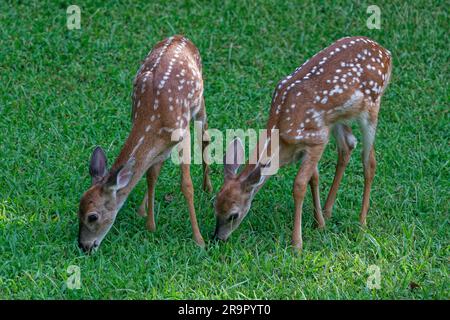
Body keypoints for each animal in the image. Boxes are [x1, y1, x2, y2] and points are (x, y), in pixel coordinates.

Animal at [76, 35, 212, 252]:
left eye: (92, 216)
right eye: (78, 210)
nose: (84, 245)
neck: (151, 116)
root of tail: (181, 37)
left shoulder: (182, 132)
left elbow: (186, 185)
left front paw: (199, 240)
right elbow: (151, 174)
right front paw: (150, 224)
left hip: (199, 102)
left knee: (204, 137)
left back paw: (208, 188)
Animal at [214, 36, 390, 251]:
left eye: (233, 215)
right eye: (214, 206)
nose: (217, 238)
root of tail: (385, 52)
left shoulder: (317, 139)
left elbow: (299, 185)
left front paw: (297, 242)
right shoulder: (308, 145)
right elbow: (314, 178)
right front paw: (319, 223)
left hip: (371, 107)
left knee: (369, 161)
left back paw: (362, 224)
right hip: (336, 118)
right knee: (348, 145)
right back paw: (328, 210)